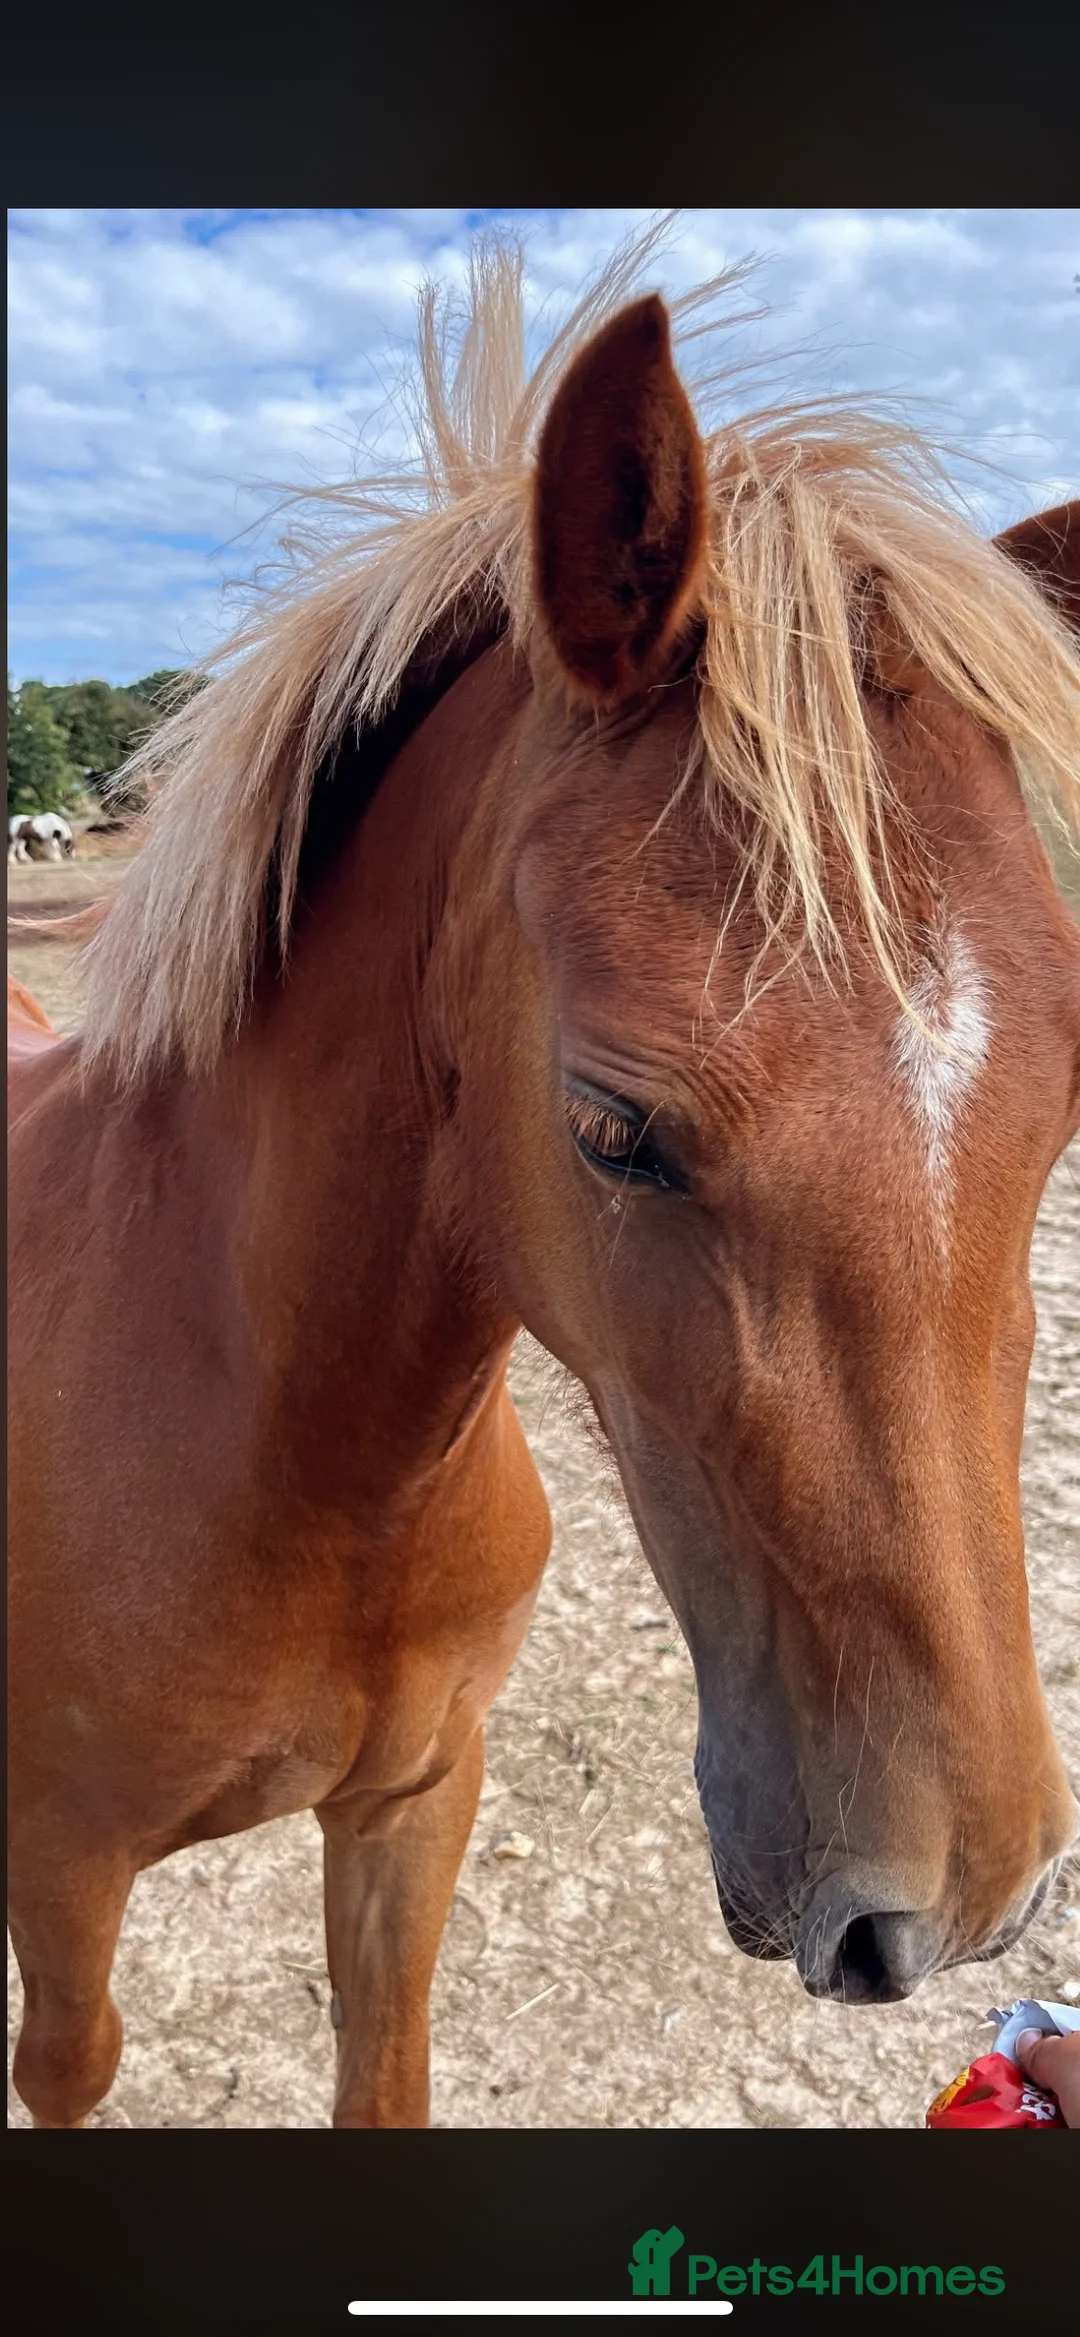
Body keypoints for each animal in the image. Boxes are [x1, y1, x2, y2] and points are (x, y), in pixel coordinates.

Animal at [8, 232, 1080, 2130]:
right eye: (613, 1125)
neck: (275, 1460)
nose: (961, 1905)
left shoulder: (411, 1814)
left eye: (1065, 1097)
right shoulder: (61, 1890)